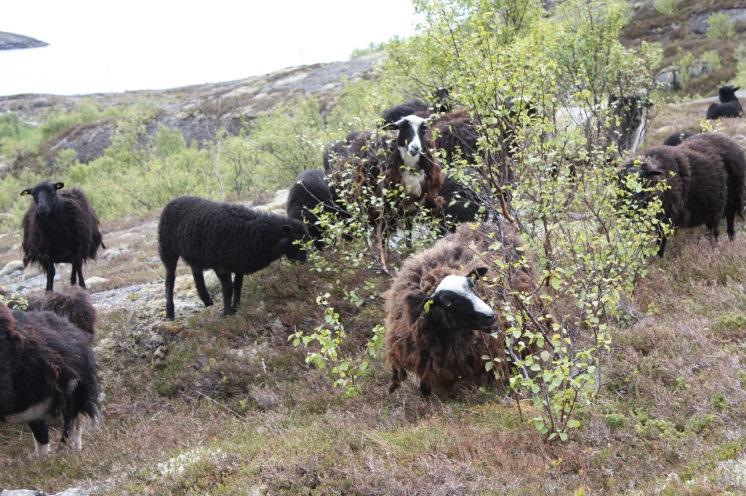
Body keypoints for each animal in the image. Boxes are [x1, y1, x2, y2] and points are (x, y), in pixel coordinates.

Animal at [158, 196, 310, 320]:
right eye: (297, 242)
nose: (305, 263)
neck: (255, 234)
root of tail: (173, 201)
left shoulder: (240, 264)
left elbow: (238, 286)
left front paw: (236, 307)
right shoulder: (222, 267)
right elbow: (228, 288)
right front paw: (227, 313)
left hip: (195, 255)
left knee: (197, 276)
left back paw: (207, 302)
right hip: (167, 250)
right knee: (169, 281)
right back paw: (170, 313)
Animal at [616, 132, 744, 256]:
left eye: (643, 180)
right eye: (623, 183)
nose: (631, 207)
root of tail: (729, 139)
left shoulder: (667, 219)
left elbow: (660, 245)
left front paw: (658, 259)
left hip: (730, 200)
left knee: (726, 224)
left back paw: (725, 244)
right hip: (710, 207)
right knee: (713, 228)